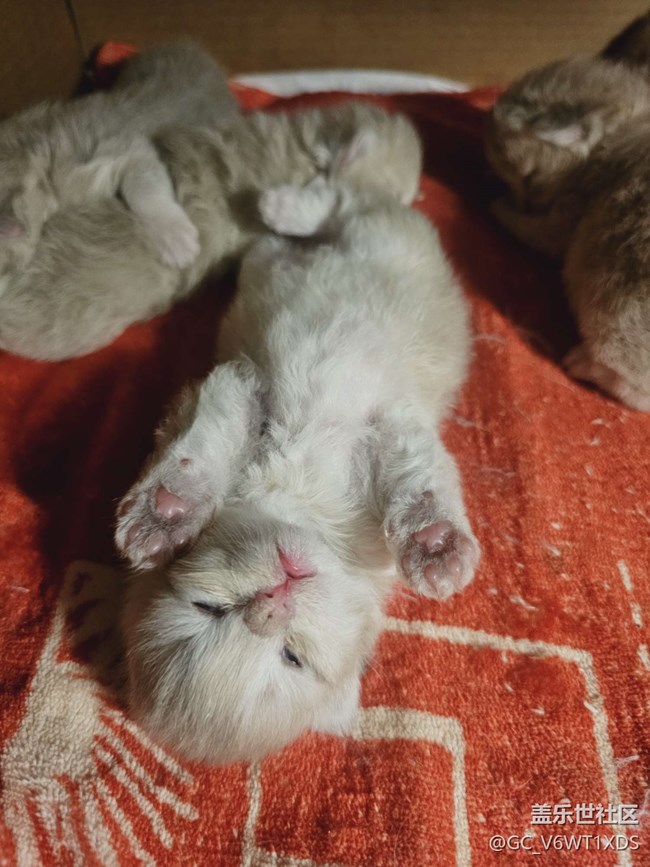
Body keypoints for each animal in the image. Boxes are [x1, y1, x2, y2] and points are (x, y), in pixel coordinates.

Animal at [114, 170, 479, 764]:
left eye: (292, 655)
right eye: (210, 609)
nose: (272, 602)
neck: (300, 498)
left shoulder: (381, 428)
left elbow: (418, 482)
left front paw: (436, 544)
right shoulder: (238, 386)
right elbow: (203, 444)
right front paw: (169, 509)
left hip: (382, 229)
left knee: (347, 199)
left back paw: (279, 205)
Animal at [485, 49, 650, 410]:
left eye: (529, 180)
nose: (522, 202)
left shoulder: (565, 220)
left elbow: (536, 230)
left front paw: (499, 207)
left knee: (634, 392)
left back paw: (583, 363)